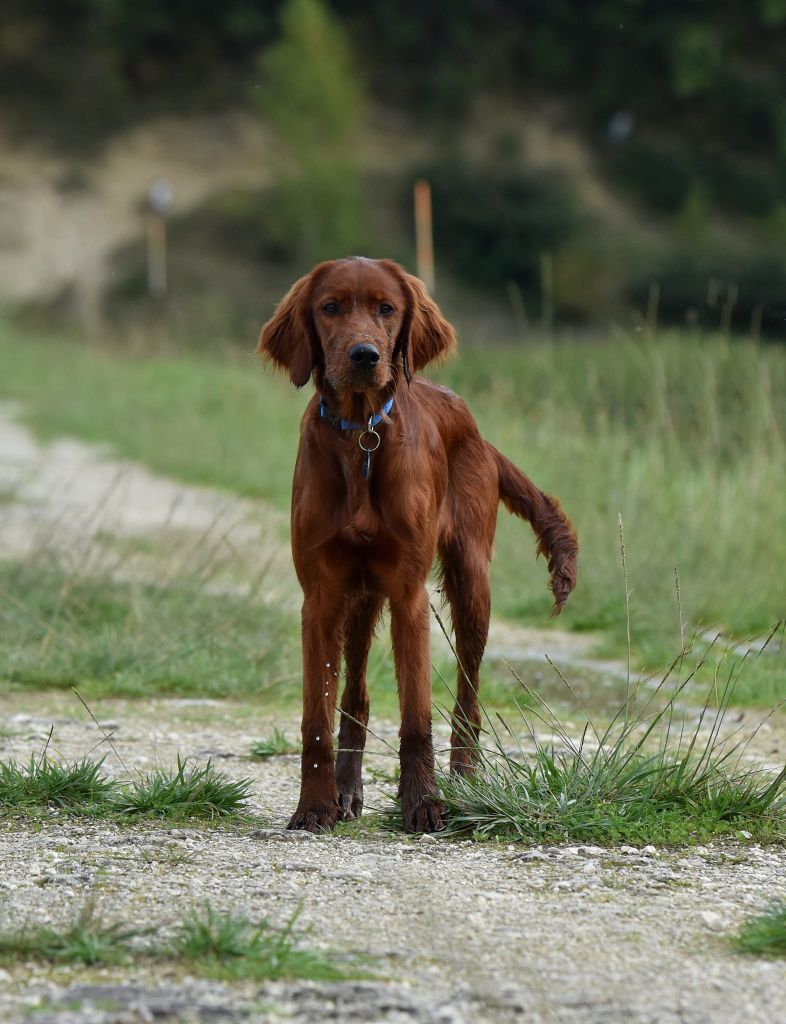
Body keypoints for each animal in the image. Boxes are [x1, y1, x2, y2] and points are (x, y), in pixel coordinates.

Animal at [257, 253, 577, 831]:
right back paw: (346, 791)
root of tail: (479, 433)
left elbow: (416, 716)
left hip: (470, 584)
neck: (361, 433)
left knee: (467, 698)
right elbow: (316, 718)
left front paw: (423, 803)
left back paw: (465, 781)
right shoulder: (320, 597)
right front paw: (314, 806)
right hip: (359, 600)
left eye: (387, 309)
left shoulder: (409, 594)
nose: (365, 356)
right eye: (330, 307)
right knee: (356, 697)